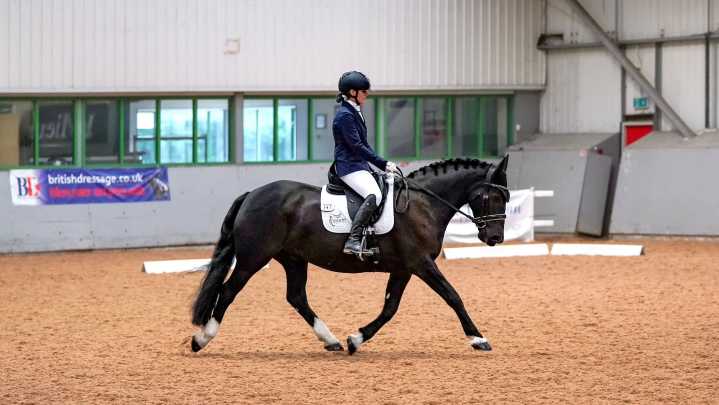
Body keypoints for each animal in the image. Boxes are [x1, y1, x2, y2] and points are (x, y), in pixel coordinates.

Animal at [190, 155, 510, 354]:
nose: (495, 238)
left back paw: (331, 340)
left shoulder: (404, 268)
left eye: (506, 197)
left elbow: (390, 308)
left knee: (296, 297)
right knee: (228, 291)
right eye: (493, 196)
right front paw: (478, 338)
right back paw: (202, 338)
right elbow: (453, 296)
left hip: (293, 258)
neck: (423, 205)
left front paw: (356, 339)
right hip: (253, 258)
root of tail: (251, 194)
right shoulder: (421, 263)